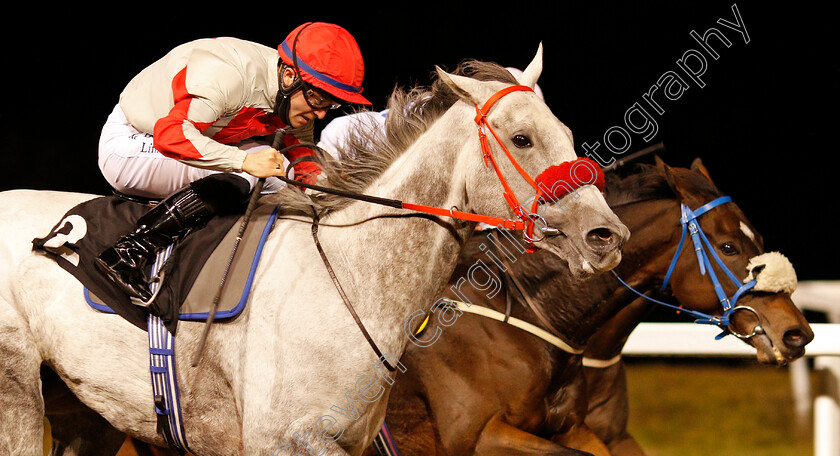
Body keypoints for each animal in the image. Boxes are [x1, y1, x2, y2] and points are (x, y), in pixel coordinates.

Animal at [368, 158, 812, 456]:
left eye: (757, 238)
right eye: (729, 247)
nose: (797, 334)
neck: (529, 313)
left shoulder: (579, 428)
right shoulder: (476, 436)